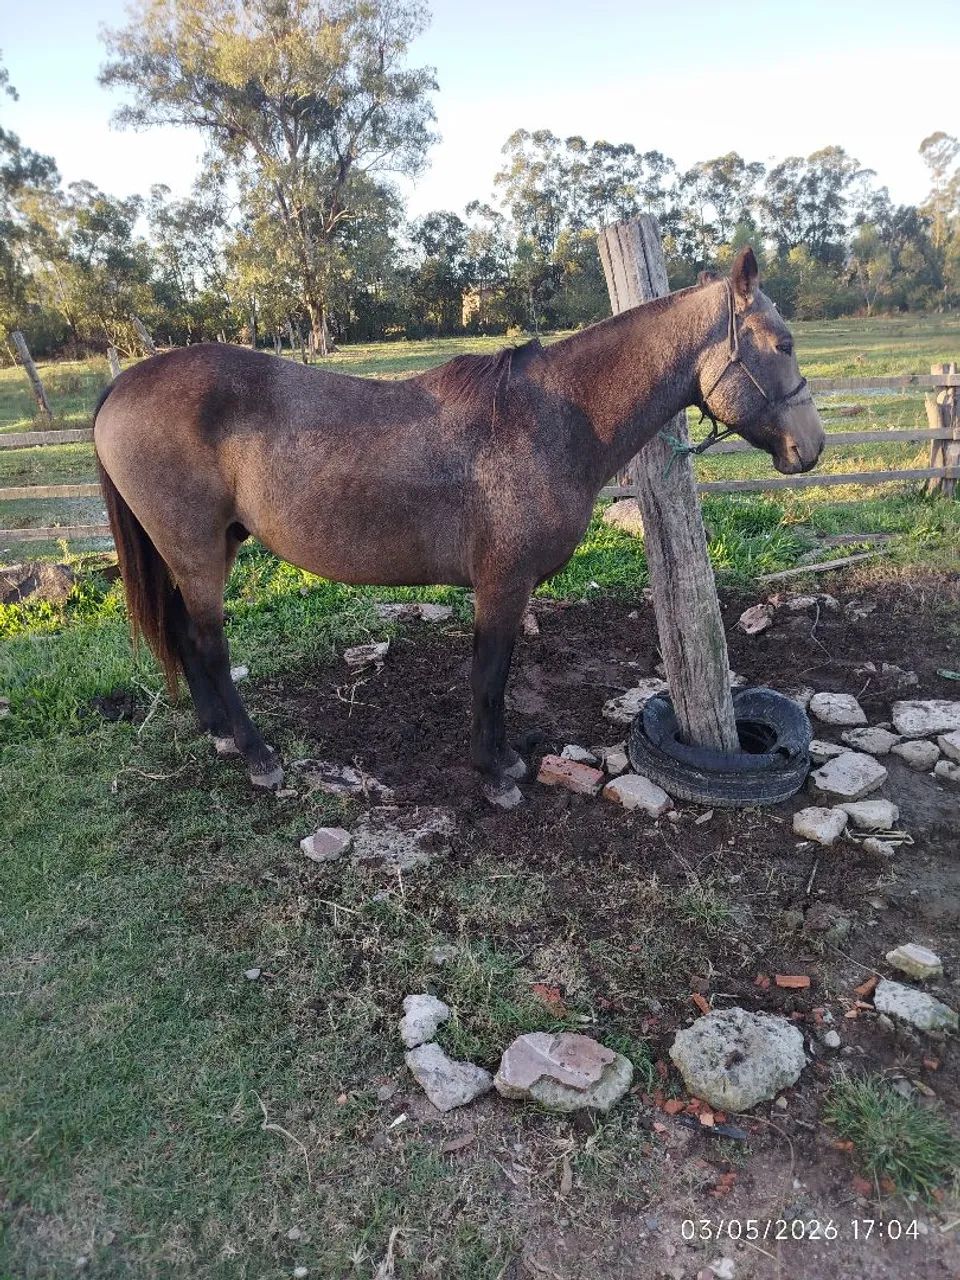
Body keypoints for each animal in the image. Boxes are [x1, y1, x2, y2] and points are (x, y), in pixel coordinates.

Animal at [95, 246, 824, 807]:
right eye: (783, 344)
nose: (810, 448)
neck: (551, 418)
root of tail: (123, 385)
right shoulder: (503, 583)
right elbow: (489, 676)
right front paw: (495, 772)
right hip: (195, 550)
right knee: (209, 644)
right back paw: (257, 755)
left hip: (205, 547)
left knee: (183, 634)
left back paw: (219, 732)